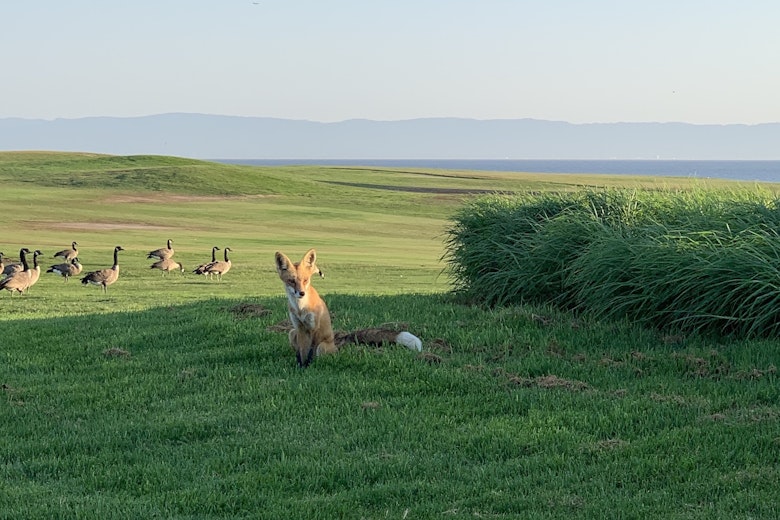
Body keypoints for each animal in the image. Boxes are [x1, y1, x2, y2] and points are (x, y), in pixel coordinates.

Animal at [275, 248, 422, 368]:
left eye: (305, 280)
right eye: (291, 281)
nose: (301, 293)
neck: (300, 308)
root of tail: (335, 342)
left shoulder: (314, 328)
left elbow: (310, 353)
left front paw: (306, 367)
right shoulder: (299, 327)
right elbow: (301, 353)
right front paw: (300, 366)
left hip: (322, 346)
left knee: (321, 354)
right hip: (291, 333)